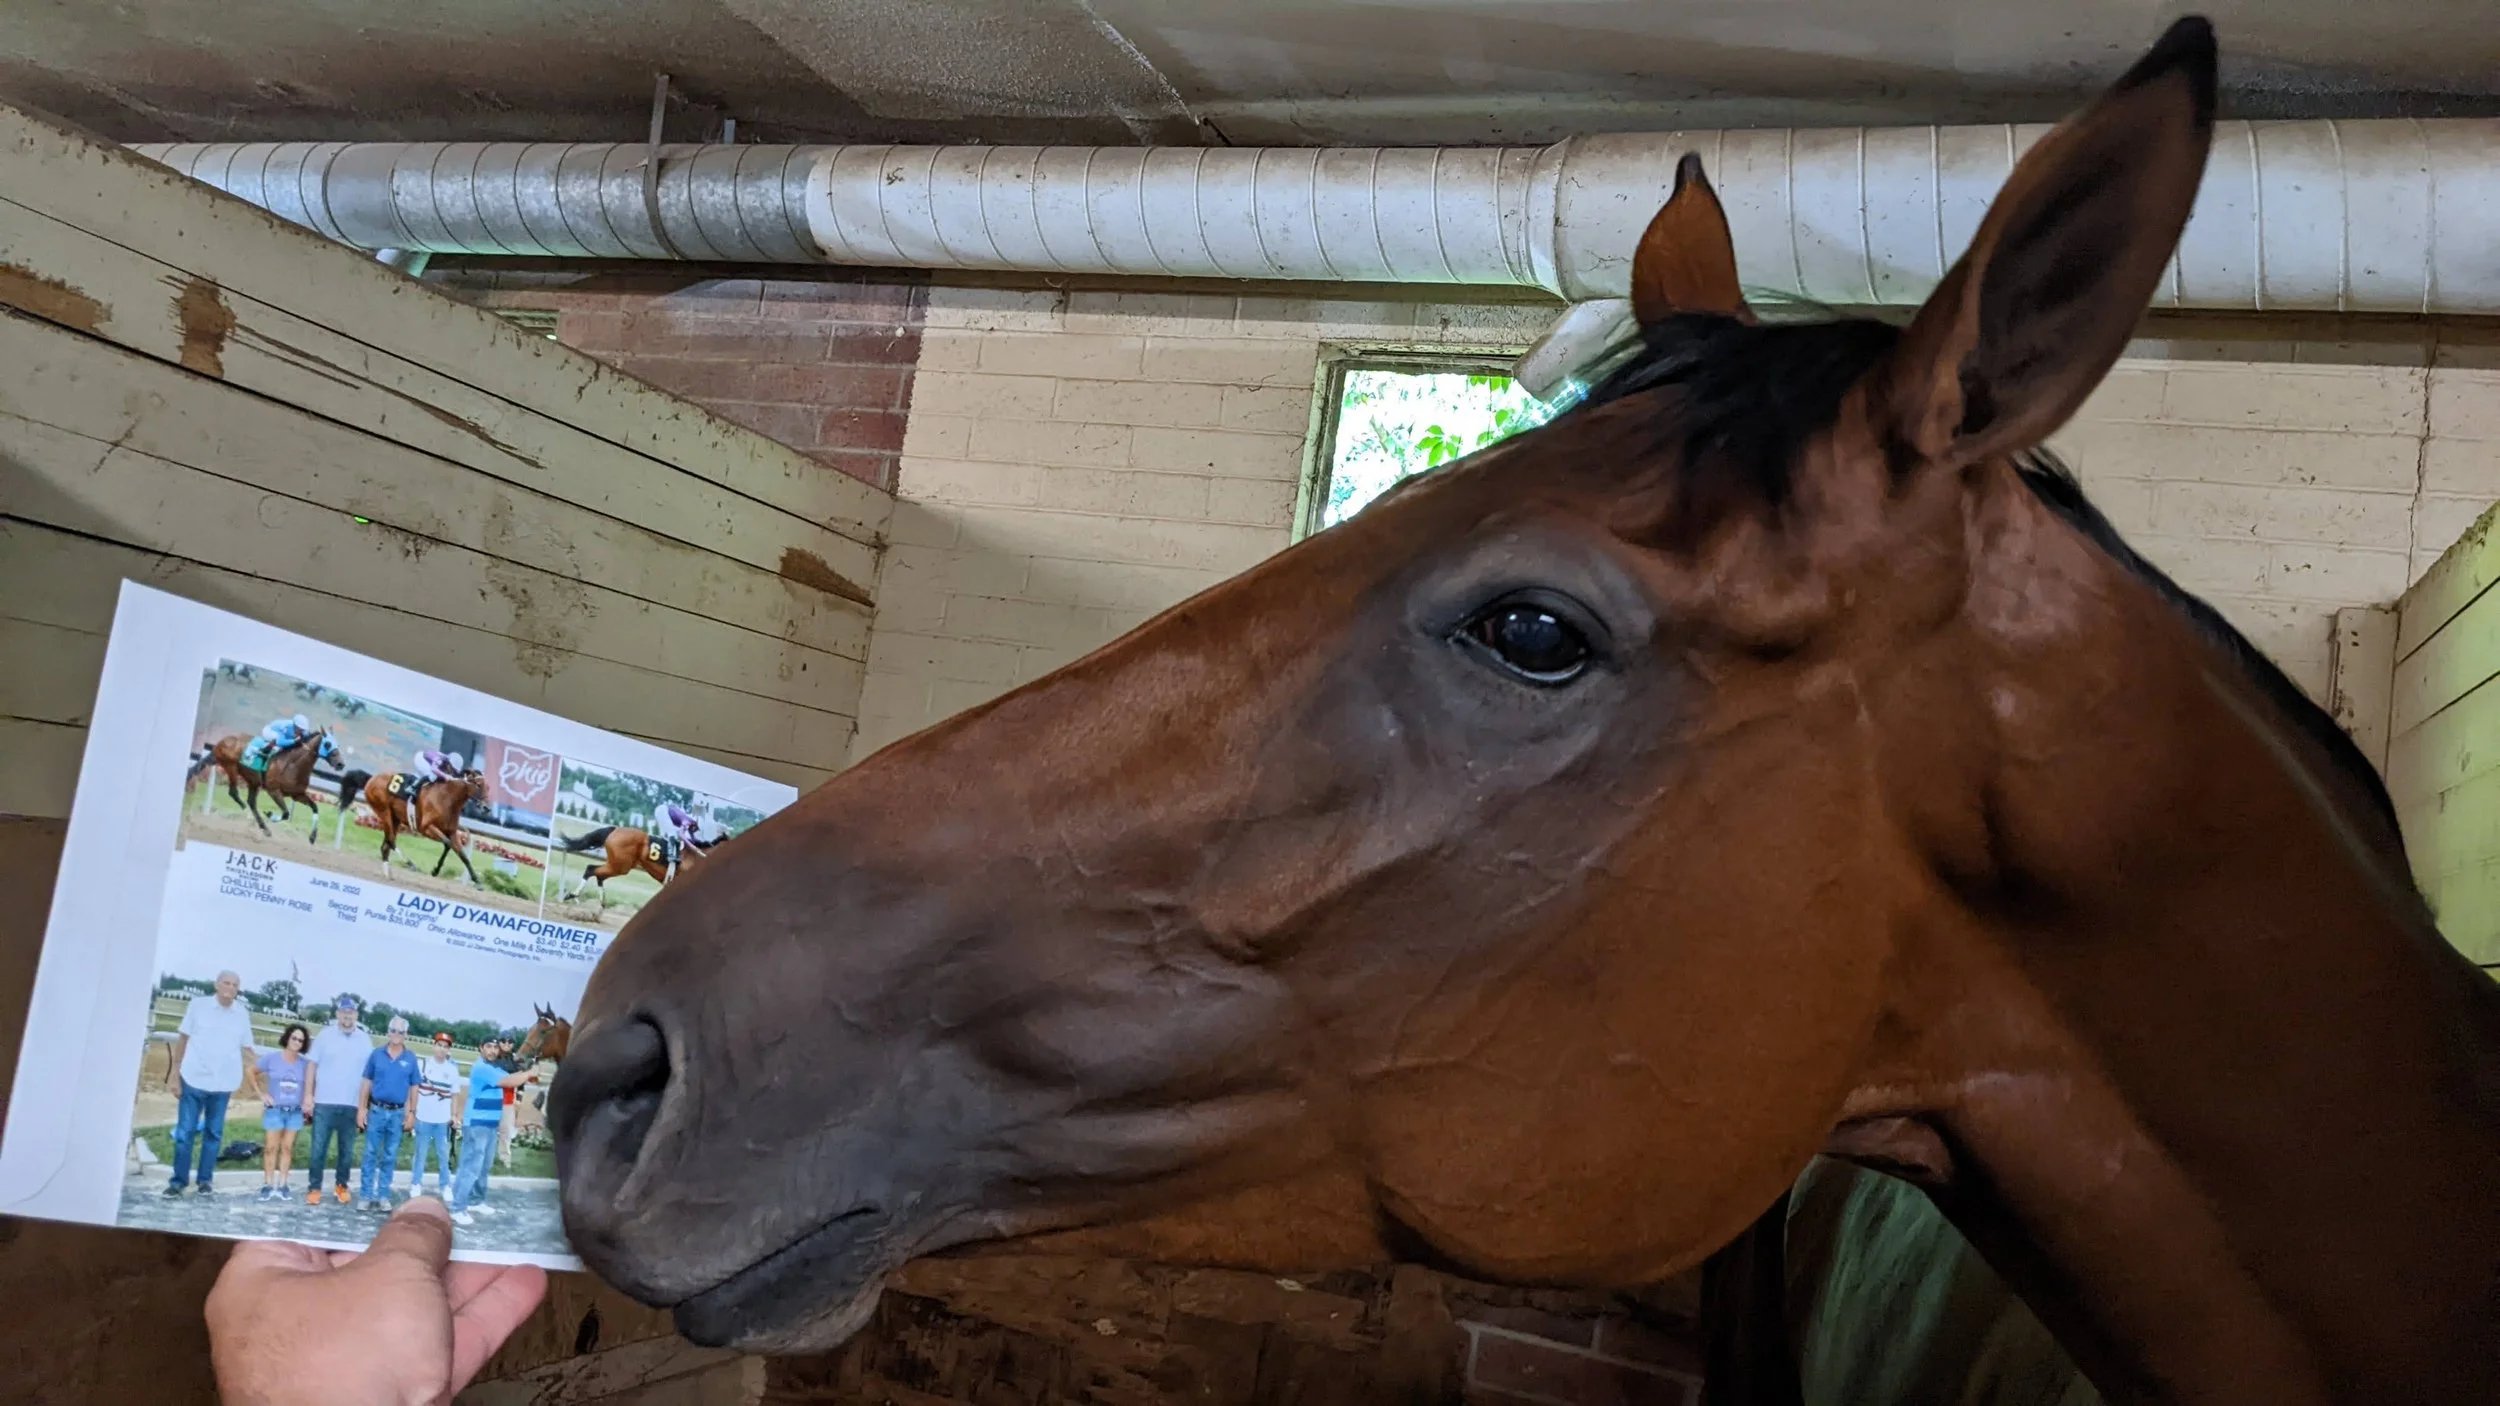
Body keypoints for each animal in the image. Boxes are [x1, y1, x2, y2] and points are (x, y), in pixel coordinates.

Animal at [186, 728, 336, 841]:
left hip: (253, 781)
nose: (340, 763)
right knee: (234, 792)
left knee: (251, 801)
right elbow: (286, 813)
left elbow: (315, 807)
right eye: (328, 744)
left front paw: (312, 837)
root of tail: (222, 741)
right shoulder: (273, 790)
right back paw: (246, 811)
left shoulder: (297, 794)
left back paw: (263, 826)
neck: (293, 765)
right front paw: (270, 814)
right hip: (231, 767)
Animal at [344, 766, 489, 886]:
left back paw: (388, 873)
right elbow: (448, 844)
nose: (487, 808)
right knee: (391, 841)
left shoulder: (452, 832)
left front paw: (477, 881)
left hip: (395, 819)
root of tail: (371, 778)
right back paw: (410, 865)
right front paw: (435, 870)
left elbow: (463, 856)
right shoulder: (426, 828)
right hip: (384, 811)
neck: (448, 798)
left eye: (488, 787)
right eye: (478, 785)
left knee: (385, 845)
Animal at [553, 825, 707, 907]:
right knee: (592, 869)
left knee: (598, 874)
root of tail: (615, 829)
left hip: (617, 865)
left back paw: (601, 901)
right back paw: (573, 894)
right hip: (620, 866)